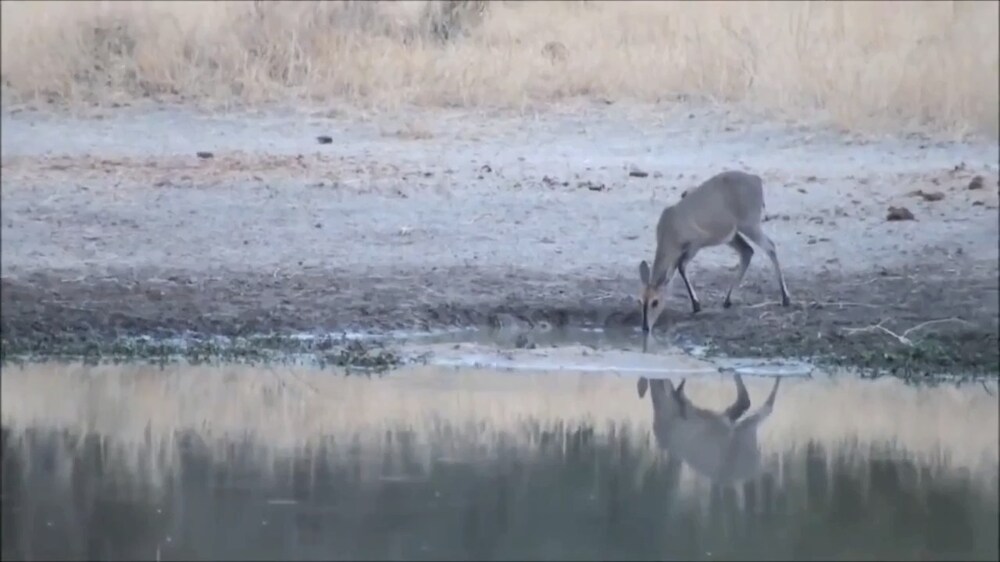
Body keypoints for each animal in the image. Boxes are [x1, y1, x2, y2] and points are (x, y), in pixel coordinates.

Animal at [640, 168, 788, 330]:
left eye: (655, 302)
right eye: (641, 300)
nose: (645, 327)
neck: (670, 228)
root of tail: (756, 179)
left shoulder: (695, 244)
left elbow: (681, 266)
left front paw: (696, 305)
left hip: (749, 225)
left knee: (770, 246)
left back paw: (785, 298)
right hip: (732, 235)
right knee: (747, 251)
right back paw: (727, 300)